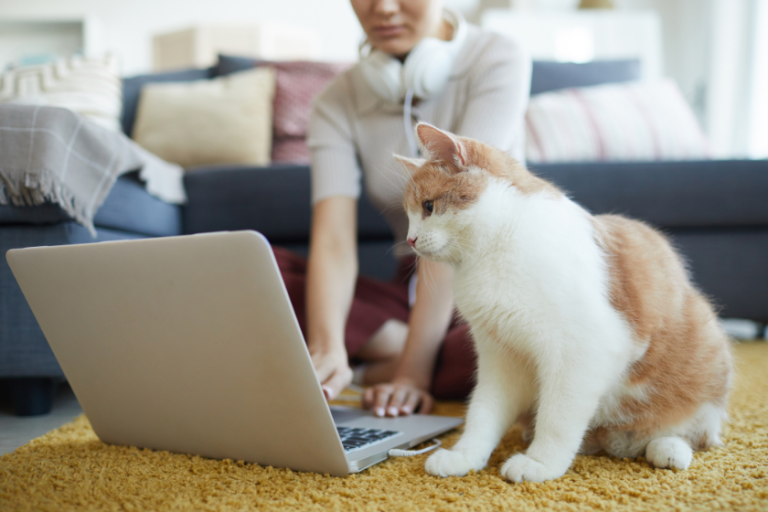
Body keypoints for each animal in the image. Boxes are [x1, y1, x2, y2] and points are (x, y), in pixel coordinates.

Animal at [400, 122, 736, 482]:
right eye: (409, 214)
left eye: (428, 207)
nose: (410, 239)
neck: (494, 250)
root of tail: (615, 442)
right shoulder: (500, 357)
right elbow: (483, 412)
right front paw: (465, 456)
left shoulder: (582, 351)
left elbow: (557, 417)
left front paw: (540, 463)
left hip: (706, 352)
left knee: (694, 432)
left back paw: (669, 449)